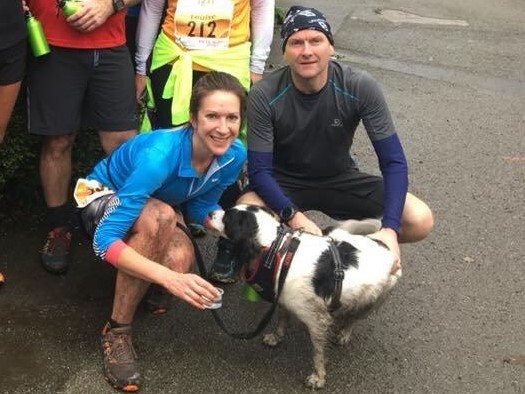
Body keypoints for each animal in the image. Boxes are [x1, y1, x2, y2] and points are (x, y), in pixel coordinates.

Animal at [207, 205, 400, 390]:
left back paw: (344, 333)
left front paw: (318, 377)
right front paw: (276, 337)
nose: (209, 213)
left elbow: (318, 354)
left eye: (227, 218)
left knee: (354, 317)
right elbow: (282, 320)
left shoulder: (318, 322)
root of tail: (383, 244)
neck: (277, 250)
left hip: (375, 298)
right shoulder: (284, 299)